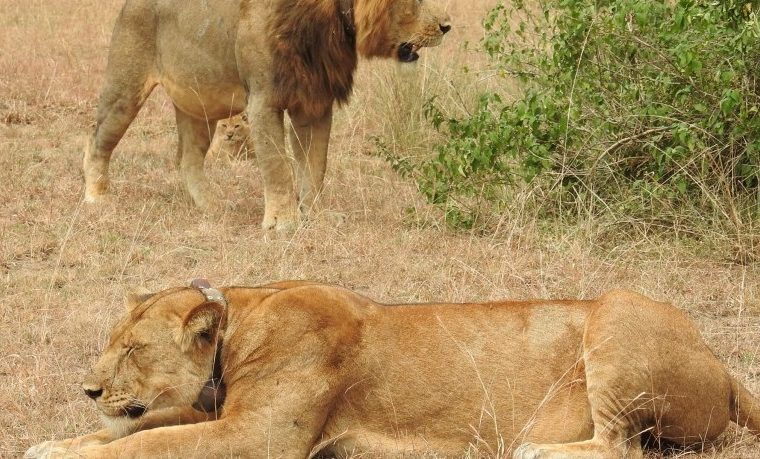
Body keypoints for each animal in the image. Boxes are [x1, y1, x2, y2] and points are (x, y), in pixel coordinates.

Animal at [81, 0, 451, 230]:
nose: (447, 26)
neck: (330, 23)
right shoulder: (263, 101)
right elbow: (277, 166)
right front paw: (283, 222)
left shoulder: (314, 102)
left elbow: (315, 166)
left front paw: (315, 215)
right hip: (125, 89)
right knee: (96, 142)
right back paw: (97, 198)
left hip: (198, 104)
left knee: (188, 159)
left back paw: (212, 205)